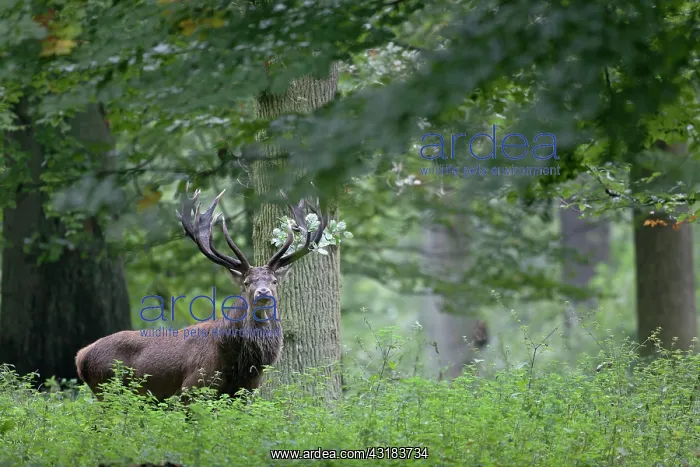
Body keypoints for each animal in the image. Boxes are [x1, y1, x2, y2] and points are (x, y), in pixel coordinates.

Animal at [75, 184, 327, 401]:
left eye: (274, 281)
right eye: (247, 282)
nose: (263, 292)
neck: (240, 362)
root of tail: (81, 357)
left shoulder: (246, 391)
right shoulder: (193, 387)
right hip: (108, 389)